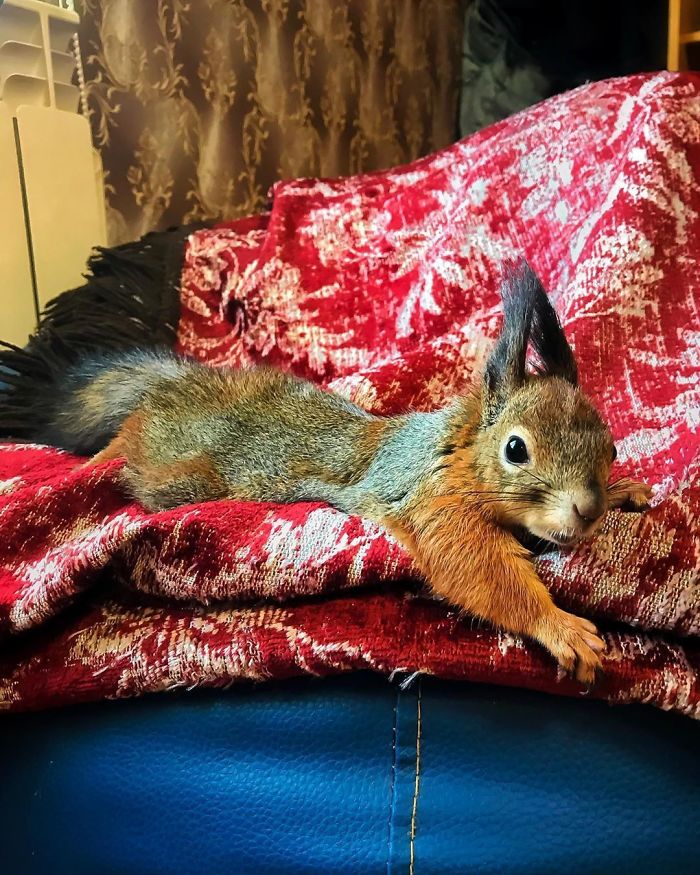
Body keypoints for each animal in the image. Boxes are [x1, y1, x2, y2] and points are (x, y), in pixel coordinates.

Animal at [32, 261, 652, 684]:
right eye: (516, 449)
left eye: (612, 447)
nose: (587, 509)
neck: (457, 450)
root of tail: (178, 386)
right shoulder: (432, 504)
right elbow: (478, 569)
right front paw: (560, 625)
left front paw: (625, 492)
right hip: (174, 466)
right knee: (127, 442)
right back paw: (96, 459)